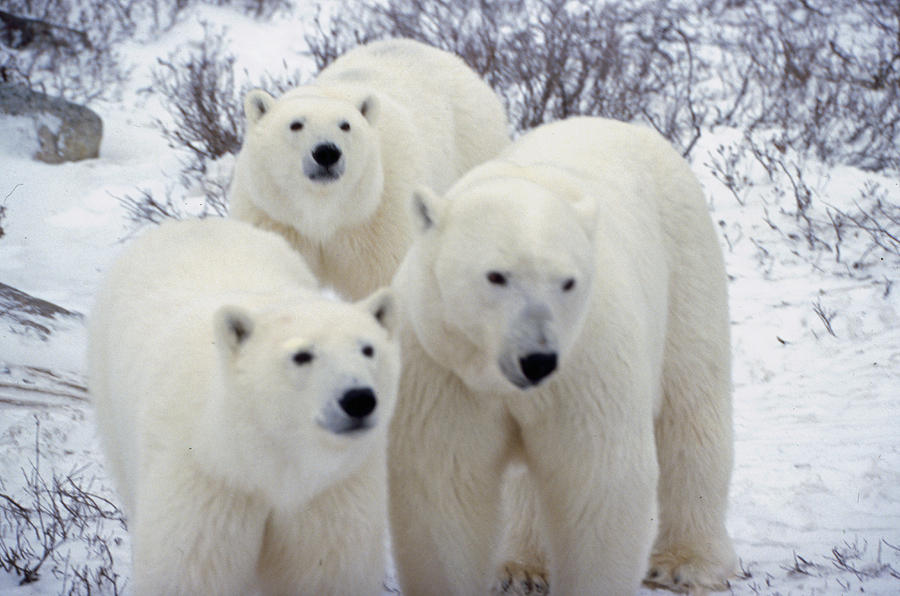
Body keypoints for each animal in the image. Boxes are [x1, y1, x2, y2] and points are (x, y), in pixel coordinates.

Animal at [89, 219, 400, 596]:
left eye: (368, 349)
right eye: (302, 355)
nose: (358, 399)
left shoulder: (329, 495)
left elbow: (325, 574)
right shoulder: (209, 484)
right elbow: (188, 573)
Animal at [230, 37, 512, 300]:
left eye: (345, 125)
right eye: (296, 124)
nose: (326, 152)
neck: (324, 214)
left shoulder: (376, 218)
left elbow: (383, 280)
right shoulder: (276, 218)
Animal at [390, 117, 736, 596]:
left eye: (568, 282)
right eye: (496, 276)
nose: (537, 359)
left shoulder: (589, 366)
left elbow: (596, 482)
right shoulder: (440, 369)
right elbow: (444, 488)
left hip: (686, 266)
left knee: (691, 409)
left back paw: (687, 562)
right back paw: (519, 566)